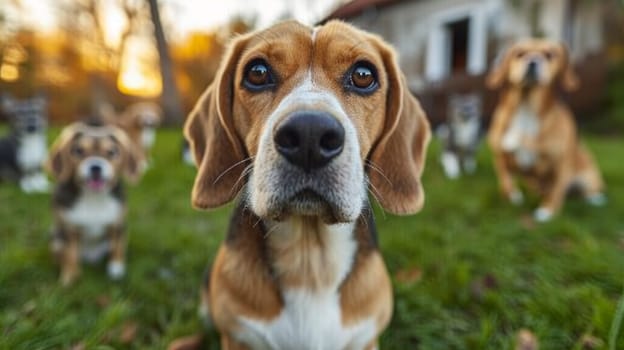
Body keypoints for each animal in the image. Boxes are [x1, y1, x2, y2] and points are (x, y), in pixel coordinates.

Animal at [46, 120, 141, 284]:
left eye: (111, 152)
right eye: (78, 151)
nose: (95, 167)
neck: (94, 197)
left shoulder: (118, 224)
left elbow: (117, 246)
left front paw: (116, 269)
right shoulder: (67, 228)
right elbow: (69, 253)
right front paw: (69, 276)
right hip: (55, 238)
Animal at [488, 39, 604, 221]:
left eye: (549, 55)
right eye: (519, 53)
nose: (533, 61)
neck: (526, 108)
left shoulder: (561, 165)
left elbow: (556, 191)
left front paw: (547, 212)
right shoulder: (500, 156)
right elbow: (505, 181)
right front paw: (513, 198)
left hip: (587, 176)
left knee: (590, 190)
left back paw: (596, 199)